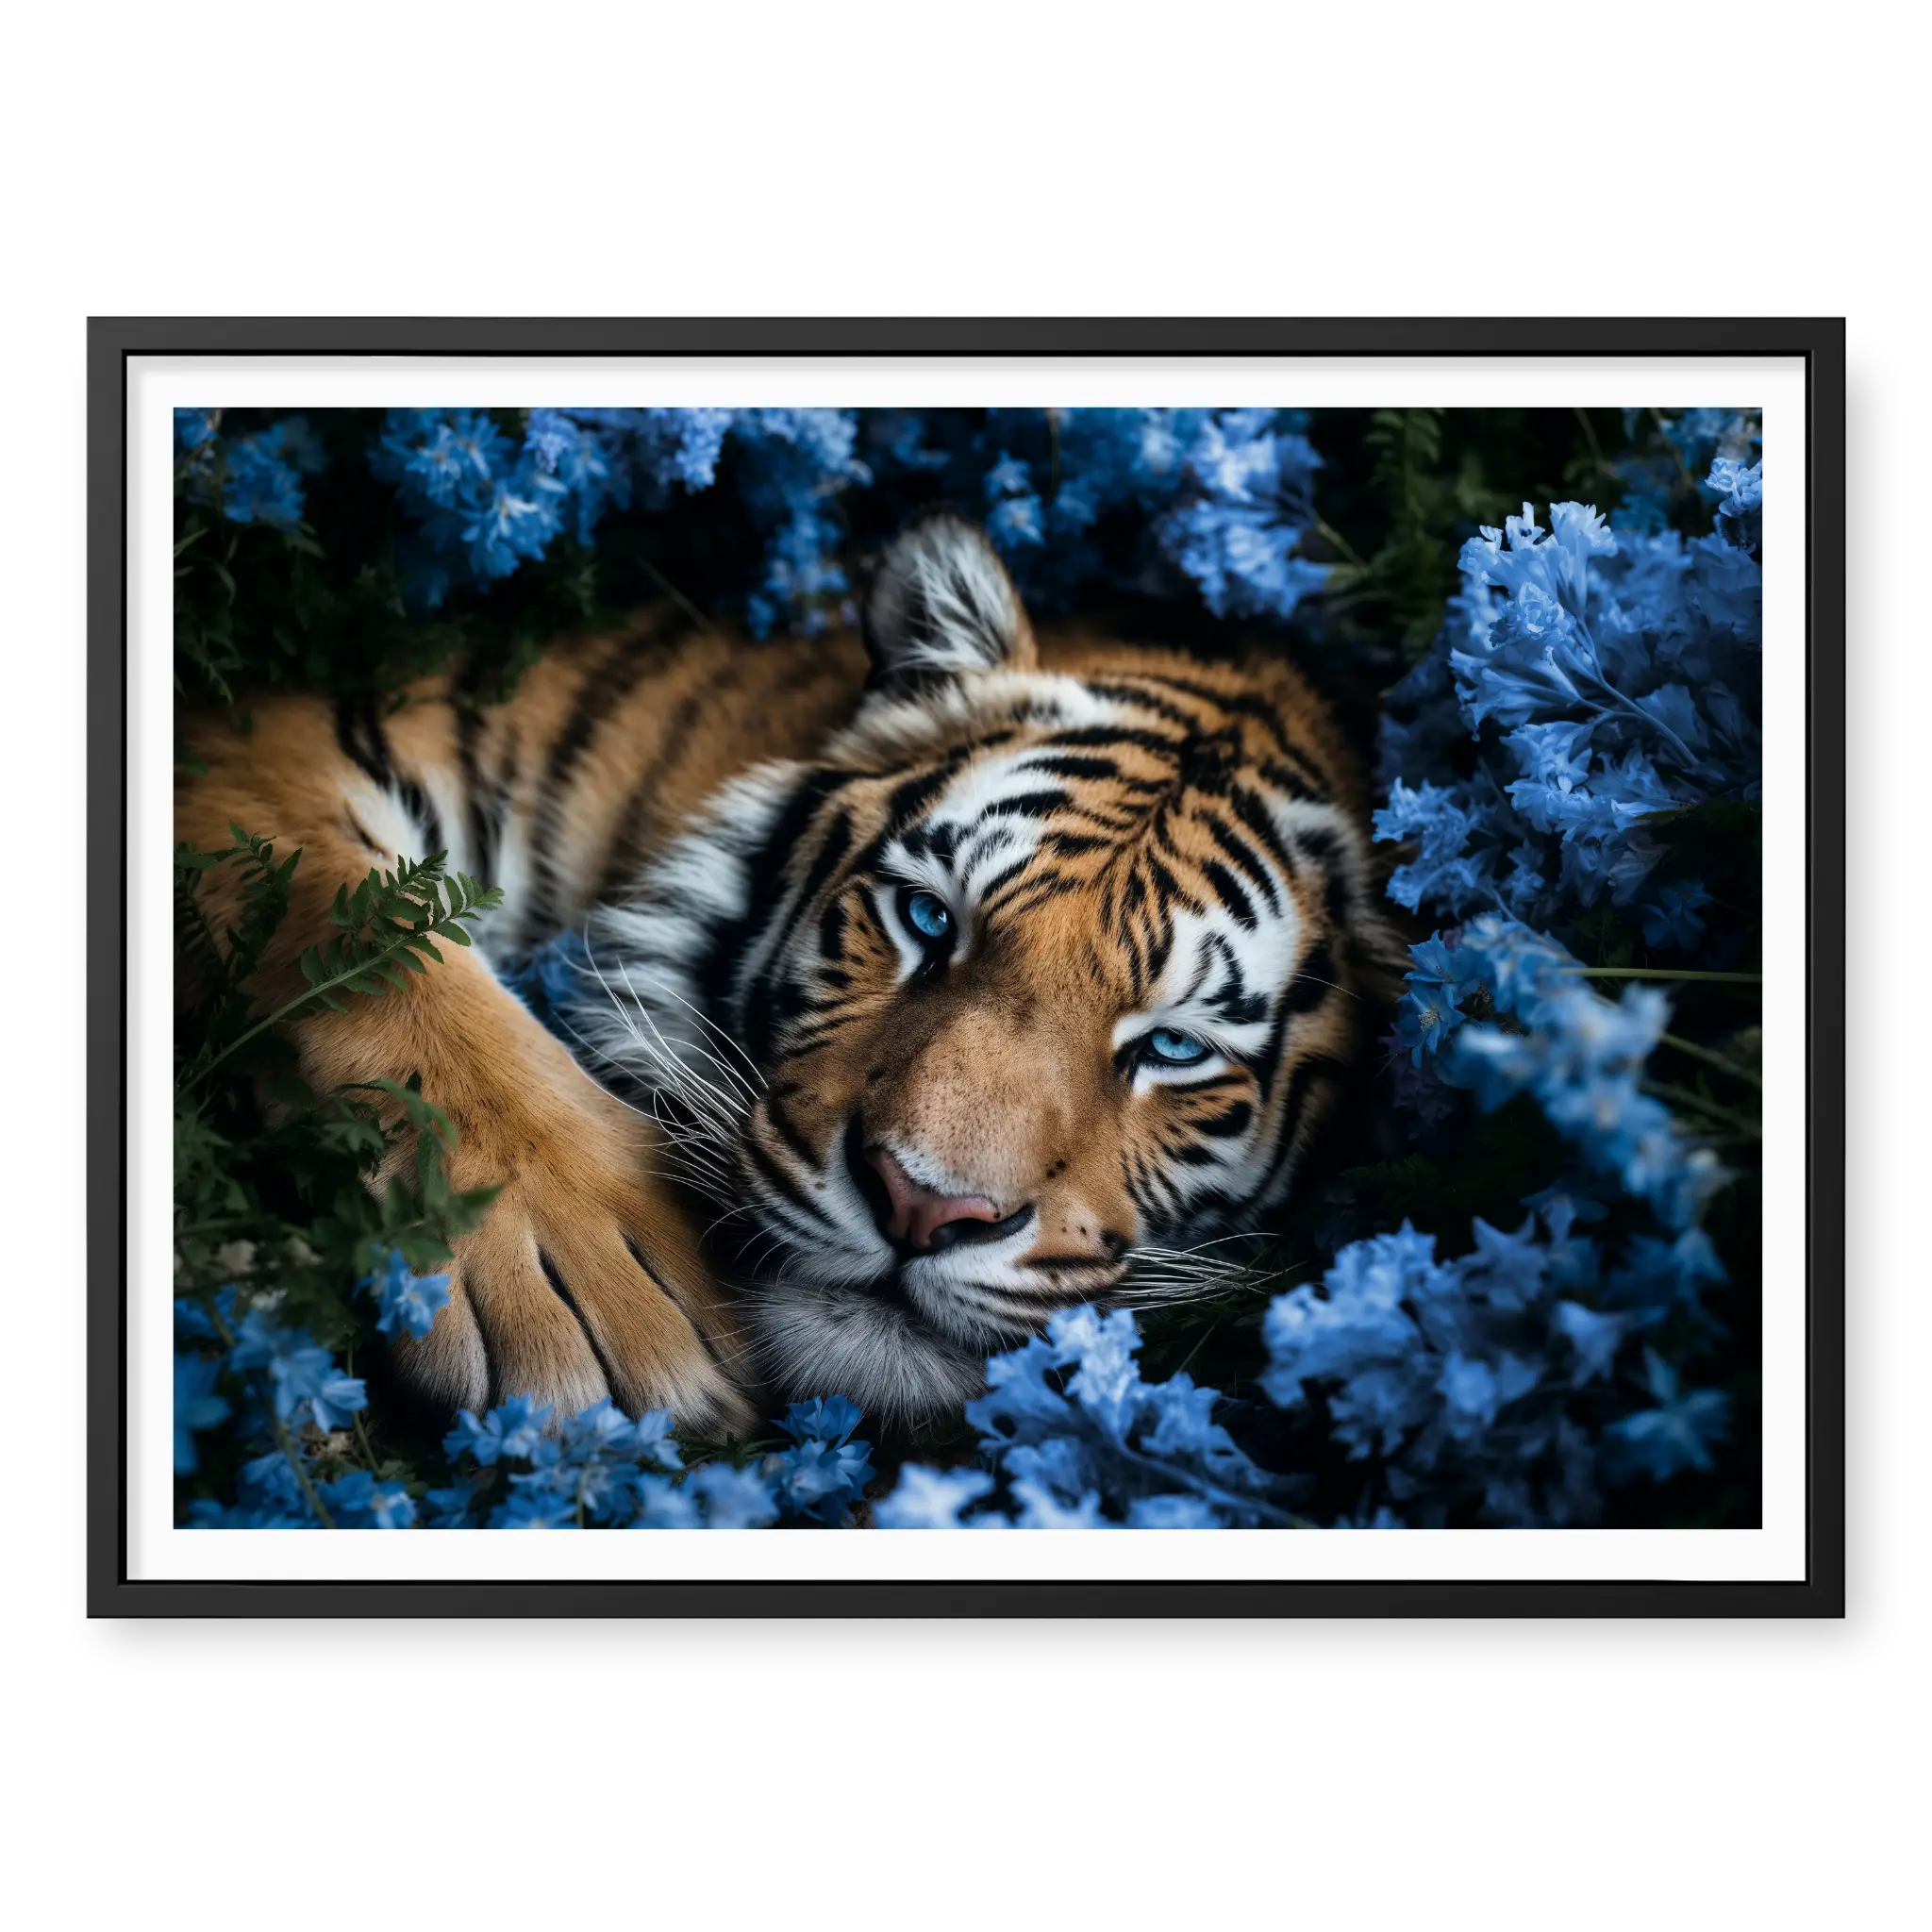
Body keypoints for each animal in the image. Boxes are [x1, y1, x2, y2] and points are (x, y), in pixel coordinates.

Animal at [177, 510, 1395, 1437]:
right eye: (926, 918)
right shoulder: (281, 735)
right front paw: (580, 1275)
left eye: (1173, 1046)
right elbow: (366, 938)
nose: (922, 1206)